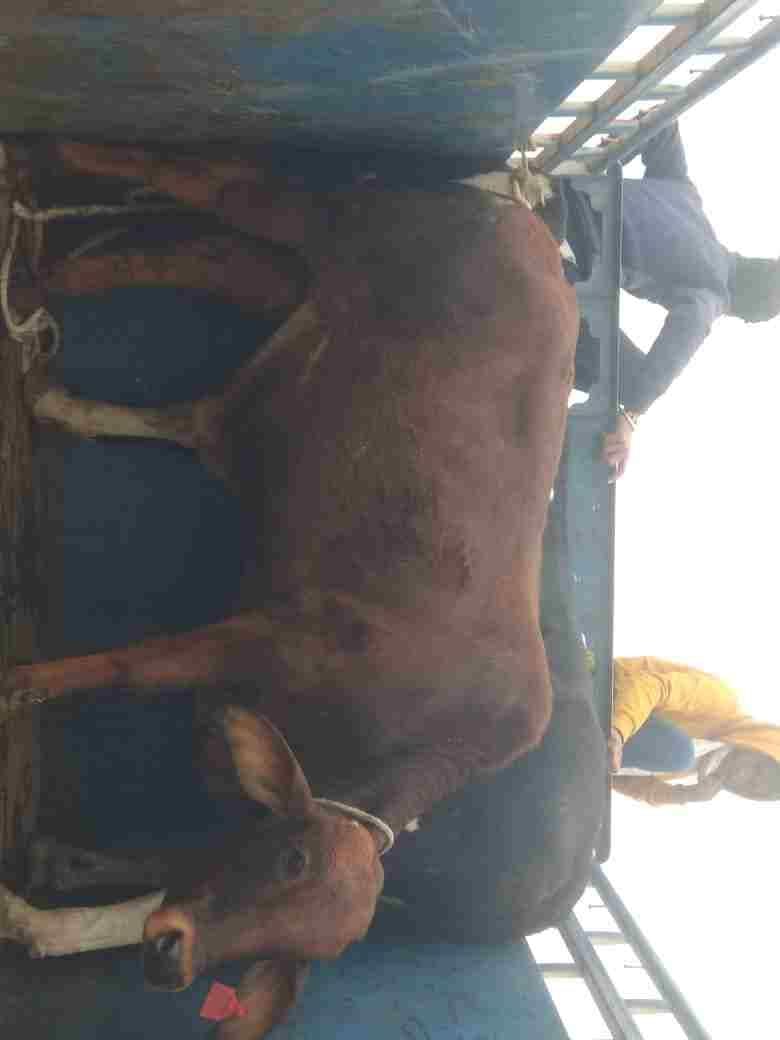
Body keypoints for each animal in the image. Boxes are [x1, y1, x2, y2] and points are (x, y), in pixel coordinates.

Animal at [0, 141, 597, 1037]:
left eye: (282, 957)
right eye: (290, 858)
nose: (171, 957)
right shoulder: (270, 631)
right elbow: (127, 665)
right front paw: (17, 686)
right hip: (340, 218)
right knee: (215, 185)